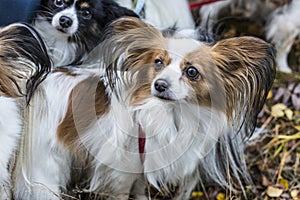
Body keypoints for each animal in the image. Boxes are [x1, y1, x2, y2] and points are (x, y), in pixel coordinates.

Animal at [13, 18, 276, 199]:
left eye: (192, 72)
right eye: (158, 62)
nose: (159, 85)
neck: (173, 114)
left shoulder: (141, 169)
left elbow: (140, 191)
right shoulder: (120, 172)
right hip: (45, 170)